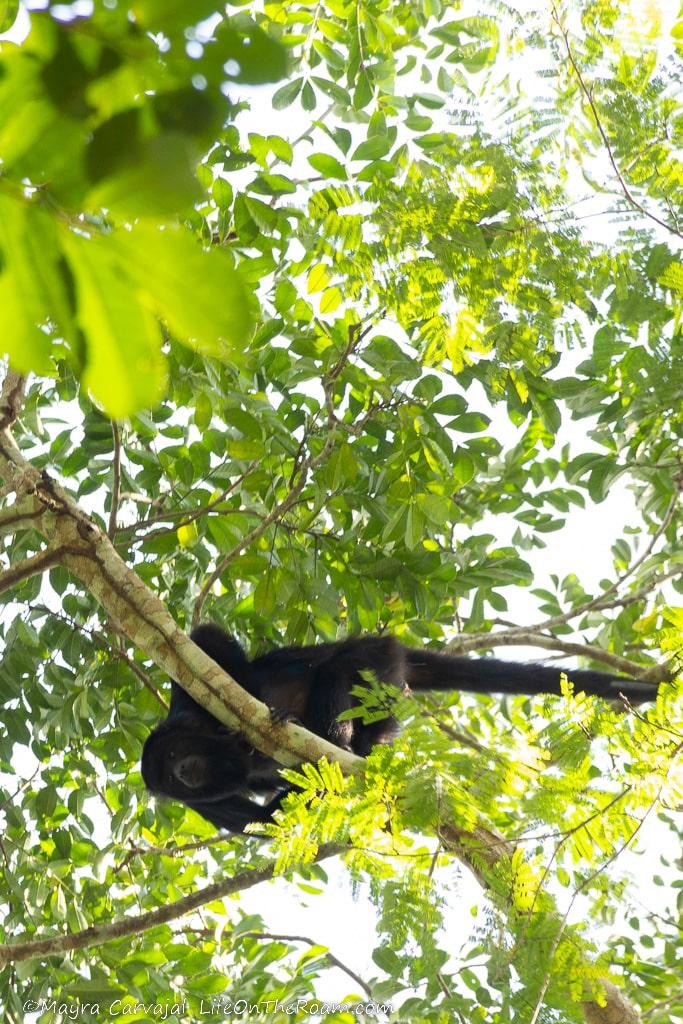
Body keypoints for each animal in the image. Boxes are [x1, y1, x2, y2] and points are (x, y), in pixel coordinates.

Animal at [140, 622, 655, 831]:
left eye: (173, 758)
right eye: (170, 781)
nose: (183, 774)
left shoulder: (187, 702)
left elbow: (208, 642)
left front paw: (247, 711)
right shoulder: (209, 807)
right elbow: (267, 821)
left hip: (375, 660)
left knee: (338, 669)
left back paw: (329, 733)